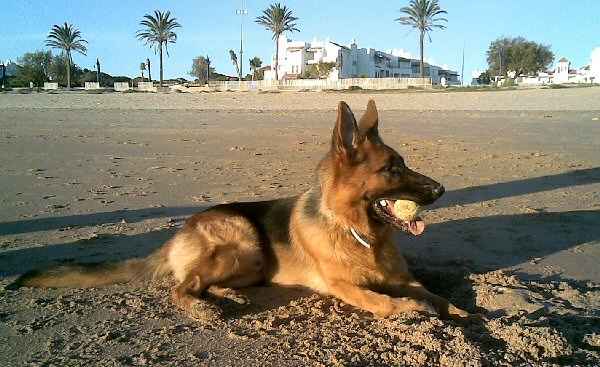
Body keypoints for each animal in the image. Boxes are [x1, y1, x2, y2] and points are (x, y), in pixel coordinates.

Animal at [9, 100, 472, 322]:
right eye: (392, 170)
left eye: (404, 164)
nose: (442, 189)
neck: (359, 232)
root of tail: (180, 232)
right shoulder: (344, 286)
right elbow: (379, 299)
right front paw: (408, 310)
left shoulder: (406, 278)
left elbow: (436, 294)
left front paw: (463, 312)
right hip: (242, 241)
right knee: (181, 287)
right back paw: (203, 307)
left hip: (250, 262)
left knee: (199, 281)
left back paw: (227, 293)